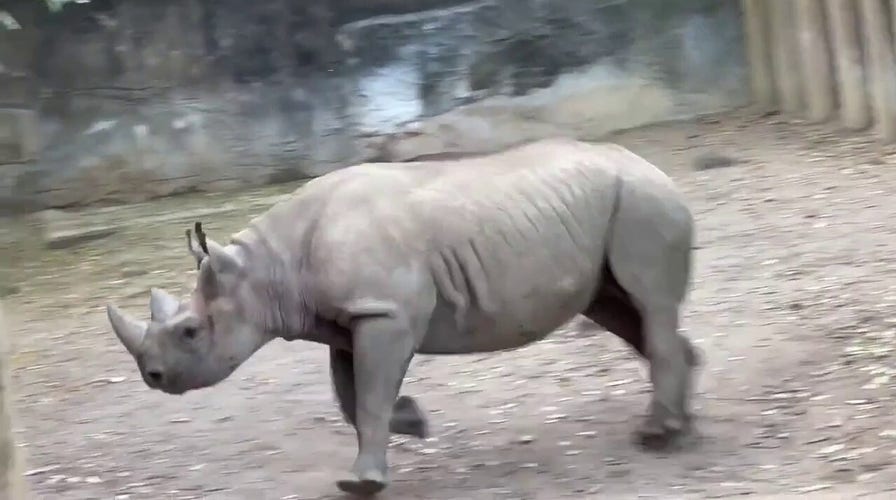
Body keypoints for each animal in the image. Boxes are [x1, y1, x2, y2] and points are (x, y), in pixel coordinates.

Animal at [106, 137, 699, 496]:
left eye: (190, 332)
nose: (152, 376)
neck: (268, 268)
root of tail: (655, 167)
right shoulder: (349, 319)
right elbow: (350, 396)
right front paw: (413, 422)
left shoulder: (382, 312)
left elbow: (367, 397)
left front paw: (362, 483)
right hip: (614, 212)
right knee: (623, 311)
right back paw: (683, 421)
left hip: (640, 204)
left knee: (647, 303)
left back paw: (657, 434)